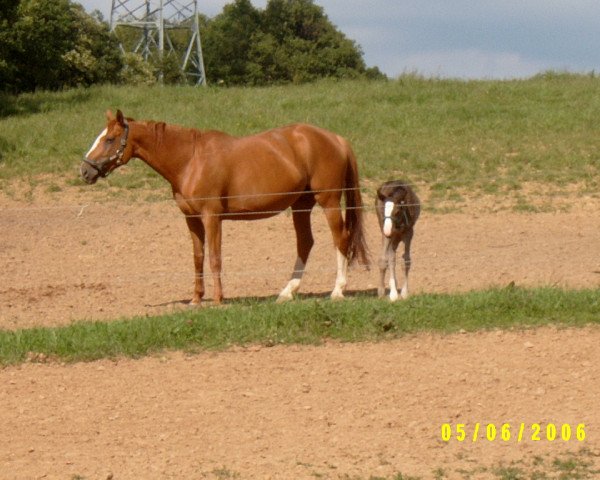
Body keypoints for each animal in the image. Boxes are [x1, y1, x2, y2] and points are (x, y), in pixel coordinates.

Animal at [81, 109, 368, 304]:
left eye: (109, 139)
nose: (85, 171)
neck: (190, 160)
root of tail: (336, 139)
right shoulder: (191, 218)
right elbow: (198, 257)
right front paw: (196, 299)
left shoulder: (212, 216)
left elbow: (215, 257)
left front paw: (219, 299)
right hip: (301, 206)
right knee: (305, 243)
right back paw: (287, 292)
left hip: (329, 202)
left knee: (341, 239)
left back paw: (338, 290)